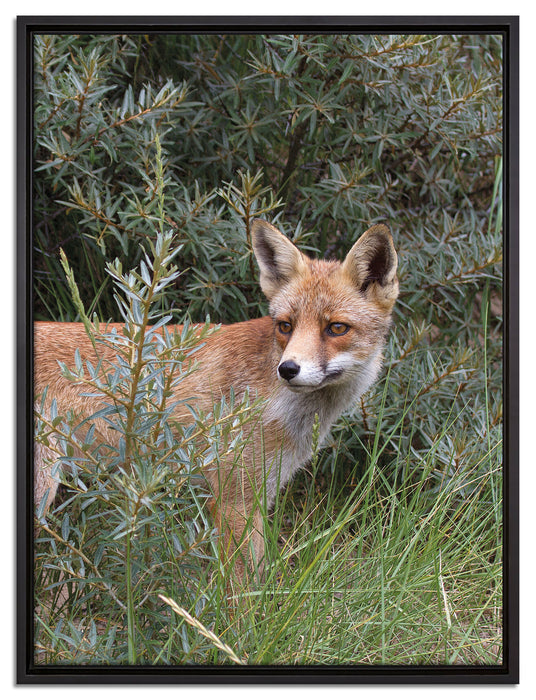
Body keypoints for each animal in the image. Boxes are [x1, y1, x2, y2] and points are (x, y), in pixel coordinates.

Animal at [34, 219, 398, 581]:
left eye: (336, 328)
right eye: (285, 326)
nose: (288, 369)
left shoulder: (259, 493)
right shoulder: (234, 499)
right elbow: (242, 589)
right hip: (43, 491)